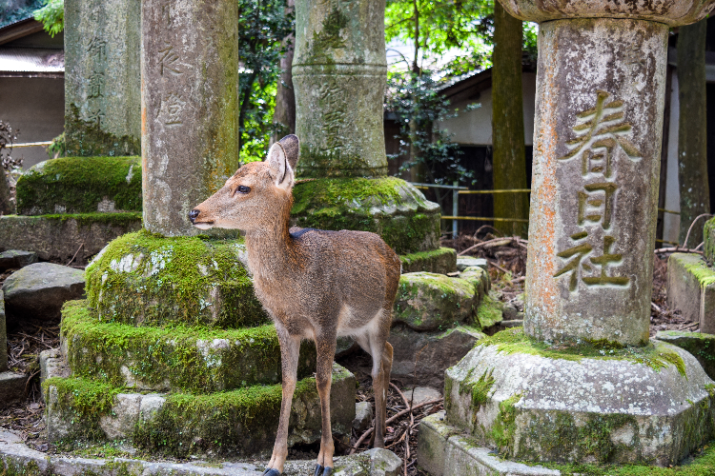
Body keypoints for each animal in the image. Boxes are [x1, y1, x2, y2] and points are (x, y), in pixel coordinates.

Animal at [190, 135, 402, 476]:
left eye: (243, 187)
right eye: (225, 182)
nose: (193, 213)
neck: (292, 289)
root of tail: (394, 253)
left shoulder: (326, 318)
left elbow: (323, 382)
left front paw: (325, 460)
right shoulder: (283, 326)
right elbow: (287, 382)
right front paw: (274, 462)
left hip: (385, 310)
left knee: (377, 367)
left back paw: (380, 441)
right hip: (357, 328)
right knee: (390, 353)